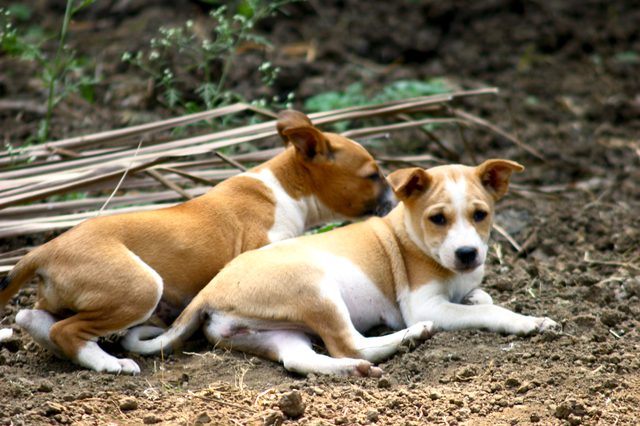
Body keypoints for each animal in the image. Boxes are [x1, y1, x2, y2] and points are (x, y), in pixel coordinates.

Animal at [0, 110, 392, 372]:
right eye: (373, 176)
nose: (392, 197)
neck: (283, 188)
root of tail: (46, 249)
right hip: (141, 287)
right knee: (67, 330)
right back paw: (110, 363)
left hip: (63, 299)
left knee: (34, 318)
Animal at [124, 159, 556, 376]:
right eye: (438, 219)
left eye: (481, 215)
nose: (468, 253)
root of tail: (209, 292)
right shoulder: (426, 304)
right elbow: (490, 310)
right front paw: (529, 321)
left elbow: (481, 297)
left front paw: (479, 293)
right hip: (316, 290)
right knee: (351, 343)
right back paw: (411, 337)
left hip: (274, 333)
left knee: (304, 359)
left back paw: (354, 371)